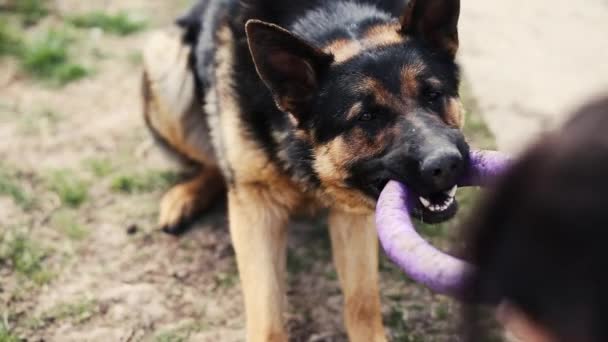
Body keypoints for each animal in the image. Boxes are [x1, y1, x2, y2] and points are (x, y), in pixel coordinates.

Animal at [141, 0, 466, 340]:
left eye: (433, 95)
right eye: (366, 117)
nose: (446, 163)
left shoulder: (352, 214)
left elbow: (361, 301)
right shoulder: (256, 208)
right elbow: (266, 316)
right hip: (166, 68)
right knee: (216, 158)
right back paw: (185, 195)